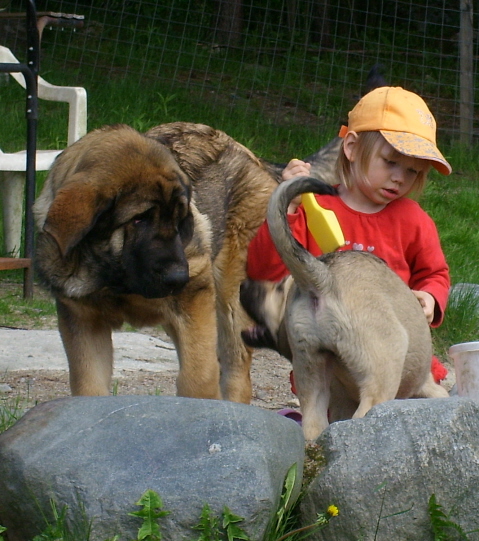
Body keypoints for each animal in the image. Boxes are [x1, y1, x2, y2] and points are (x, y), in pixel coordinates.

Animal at [32, 122, 278, 400]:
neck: (114, 280)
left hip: (230, 300)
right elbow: (89, 384)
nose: (179, 278)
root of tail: (251, 156)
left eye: (179, 219)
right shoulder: (82, 321)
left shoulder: (196, 296)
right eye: (139, 220)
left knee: (236, 371)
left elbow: (198, 377)